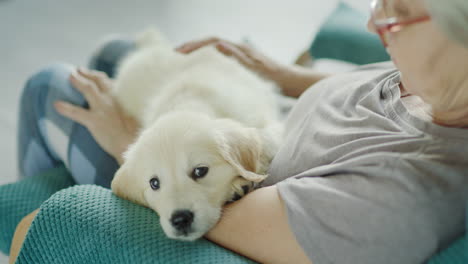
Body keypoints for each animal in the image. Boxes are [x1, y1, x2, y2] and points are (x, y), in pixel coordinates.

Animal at [111, 29, 284, 241]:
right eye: (154, 183)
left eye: (200, 171)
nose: (180, 219)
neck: (188, 101)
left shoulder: (267, 125)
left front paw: (240, 185)